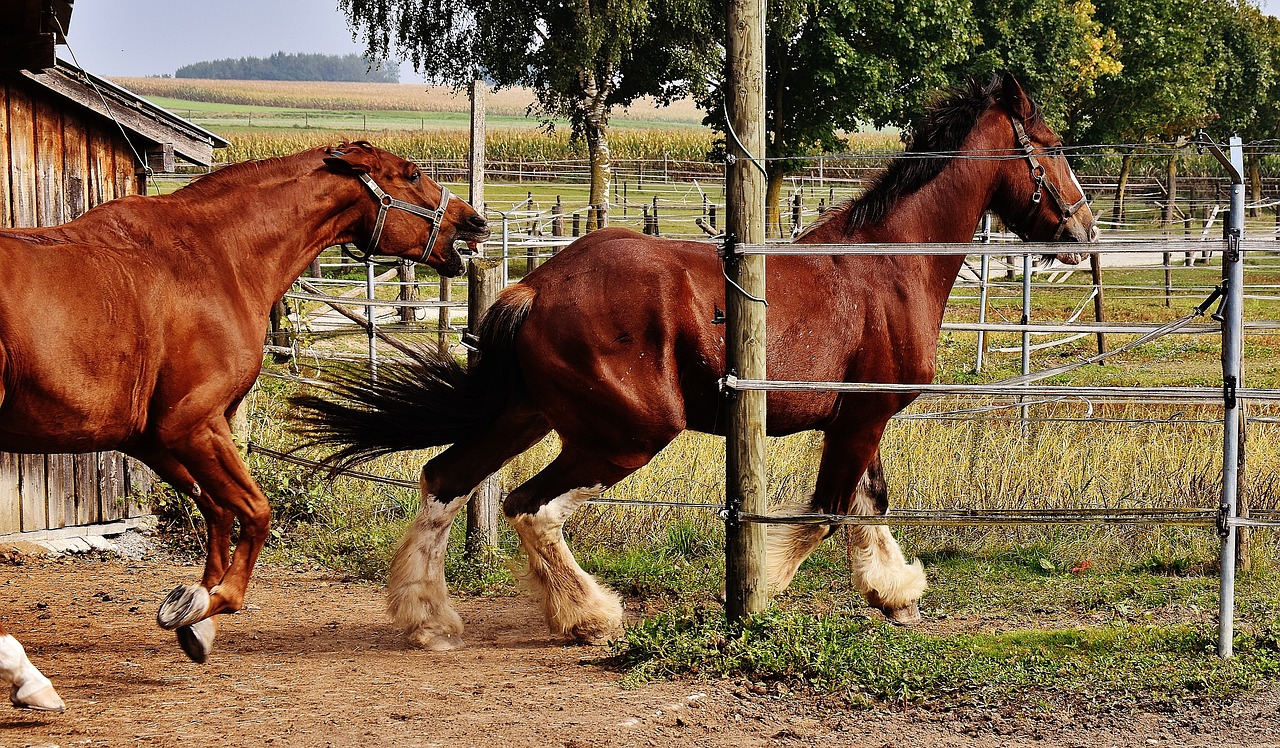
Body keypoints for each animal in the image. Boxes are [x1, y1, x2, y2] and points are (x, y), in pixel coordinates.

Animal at [0, 141, 488, 707]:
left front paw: (195, 616)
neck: (216, 258)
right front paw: (211, 603)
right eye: (411, 174)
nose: (472, 222)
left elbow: (217, 510)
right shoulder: (191, 426)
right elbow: (255, 512)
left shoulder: (155, 438)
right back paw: (29, 679)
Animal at [294, 74, 1095, 648]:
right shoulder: (862, 417)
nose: (1084, 230)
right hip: (627, 433)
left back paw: (427, 621)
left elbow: (869, 504)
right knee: (530, 506)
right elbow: (825, 513)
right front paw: (763, 594)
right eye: (1053, 146)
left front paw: (895, 595)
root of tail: (535, 284)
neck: (885, 266)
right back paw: (588, 617)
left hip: (529, 416)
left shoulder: (858, 420)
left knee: (445, 480)